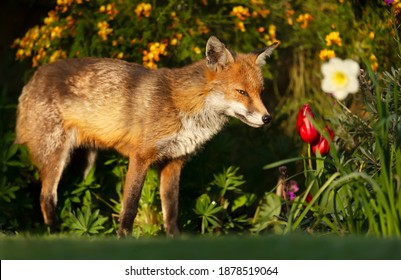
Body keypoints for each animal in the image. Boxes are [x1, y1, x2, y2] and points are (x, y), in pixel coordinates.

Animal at [16, 36, 278, 237]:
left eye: (260, 92)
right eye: (241, 92)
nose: (268, 118)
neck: (183, 106)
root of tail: (35, 76)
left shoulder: (174, 162)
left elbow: (171, 210)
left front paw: (175, 239)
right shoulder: (140, 157)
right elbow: (130, 207)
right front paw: (124, 238)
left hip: (87, 164)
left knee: (80, 193)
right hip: (56, 156)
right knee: (46, 196)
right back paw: (55, 232)